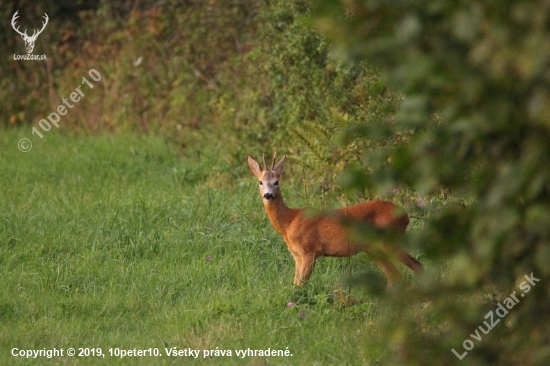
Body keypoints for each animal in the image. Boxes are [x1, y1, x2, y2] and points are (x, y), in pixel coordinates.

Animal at [248, 153, 424, 288]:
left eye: (276, 182)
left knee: (417, 266)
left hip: (388, 240)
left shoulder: (311, 250)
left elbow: (300, 285)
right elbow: (295, 283)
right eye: (260, 182)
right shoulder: (297, 255)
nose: (268, 195)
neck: (289, 221)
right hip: (373, 248)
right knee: (395, 276)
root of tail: (405, 216)